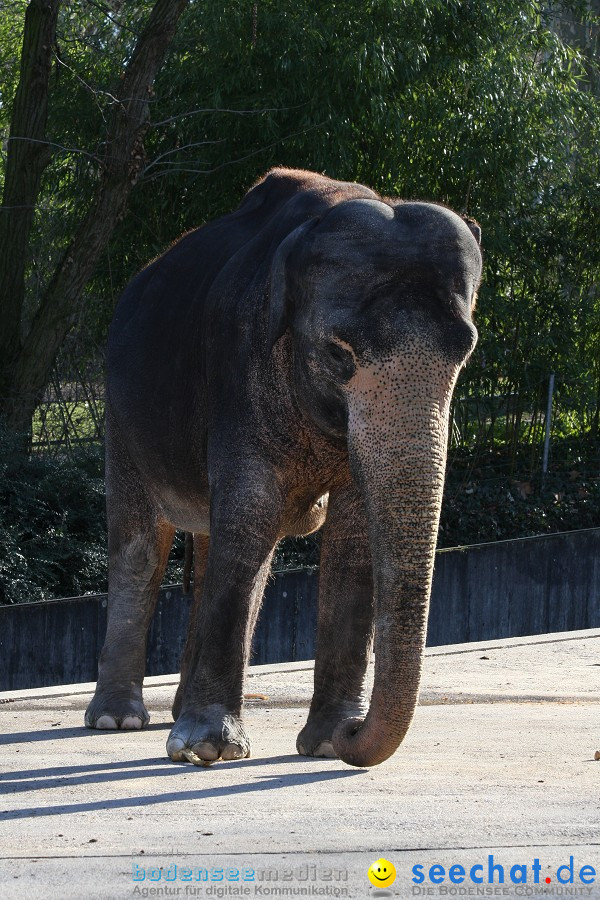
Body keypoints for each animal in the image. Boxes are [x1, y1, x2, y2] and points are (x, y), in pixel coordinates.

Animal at [84, 167, 480, 768]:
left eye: (465, 352)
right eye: (340, 354)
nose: (356, 732)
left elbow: (353, 540)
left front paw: (325, 743)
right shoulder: (239, 373)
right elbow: (251, 517)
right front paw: (207, 750)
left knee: (207, 548)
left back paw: (174, 715)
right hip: (121, 415)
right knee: (141, 548)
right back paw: (118, 720)